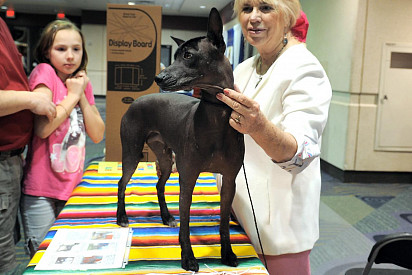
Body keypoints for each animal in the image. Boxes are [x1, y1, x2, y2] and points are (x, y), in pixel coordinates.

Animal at [116, 7, 245, 272]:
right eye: (174, 56)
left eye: (187, 55)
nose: (158, 77)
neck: (216, 114)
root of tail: (136, 100)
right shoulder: (188, 179)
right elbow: (186, 223)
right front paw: (187, 257)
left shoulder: (230, 181)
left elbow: (224, 223)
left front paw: (227, 253)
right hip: (132, 154)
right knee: (122, 184)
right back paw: (122, 217)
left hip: (166, 160)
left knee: (159, 184)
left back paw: (166, 216)